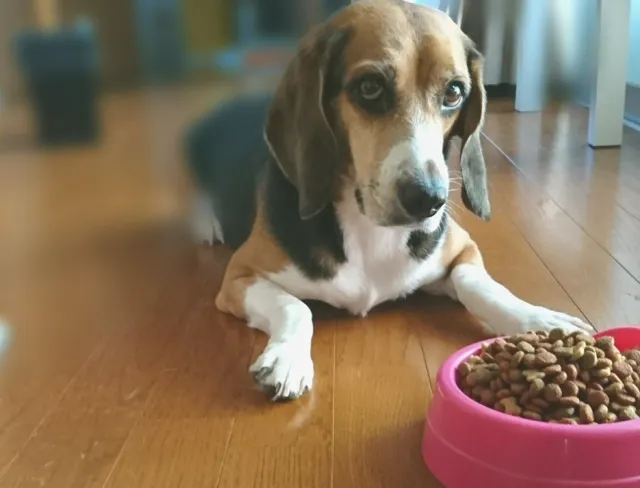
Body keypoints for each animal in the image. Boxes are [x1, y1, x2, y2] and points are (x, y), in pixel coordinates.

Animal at [188, 0, 592, 400]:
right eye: (369, 87)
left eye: (454, 93)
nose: (429, 199)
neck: (368, 229)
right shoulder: (240, 274)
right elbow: (296, 307)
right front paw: (287, 359)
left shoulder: (464, 249)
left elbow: (480, 285)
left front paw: (538, 321)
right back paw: (207, 224)